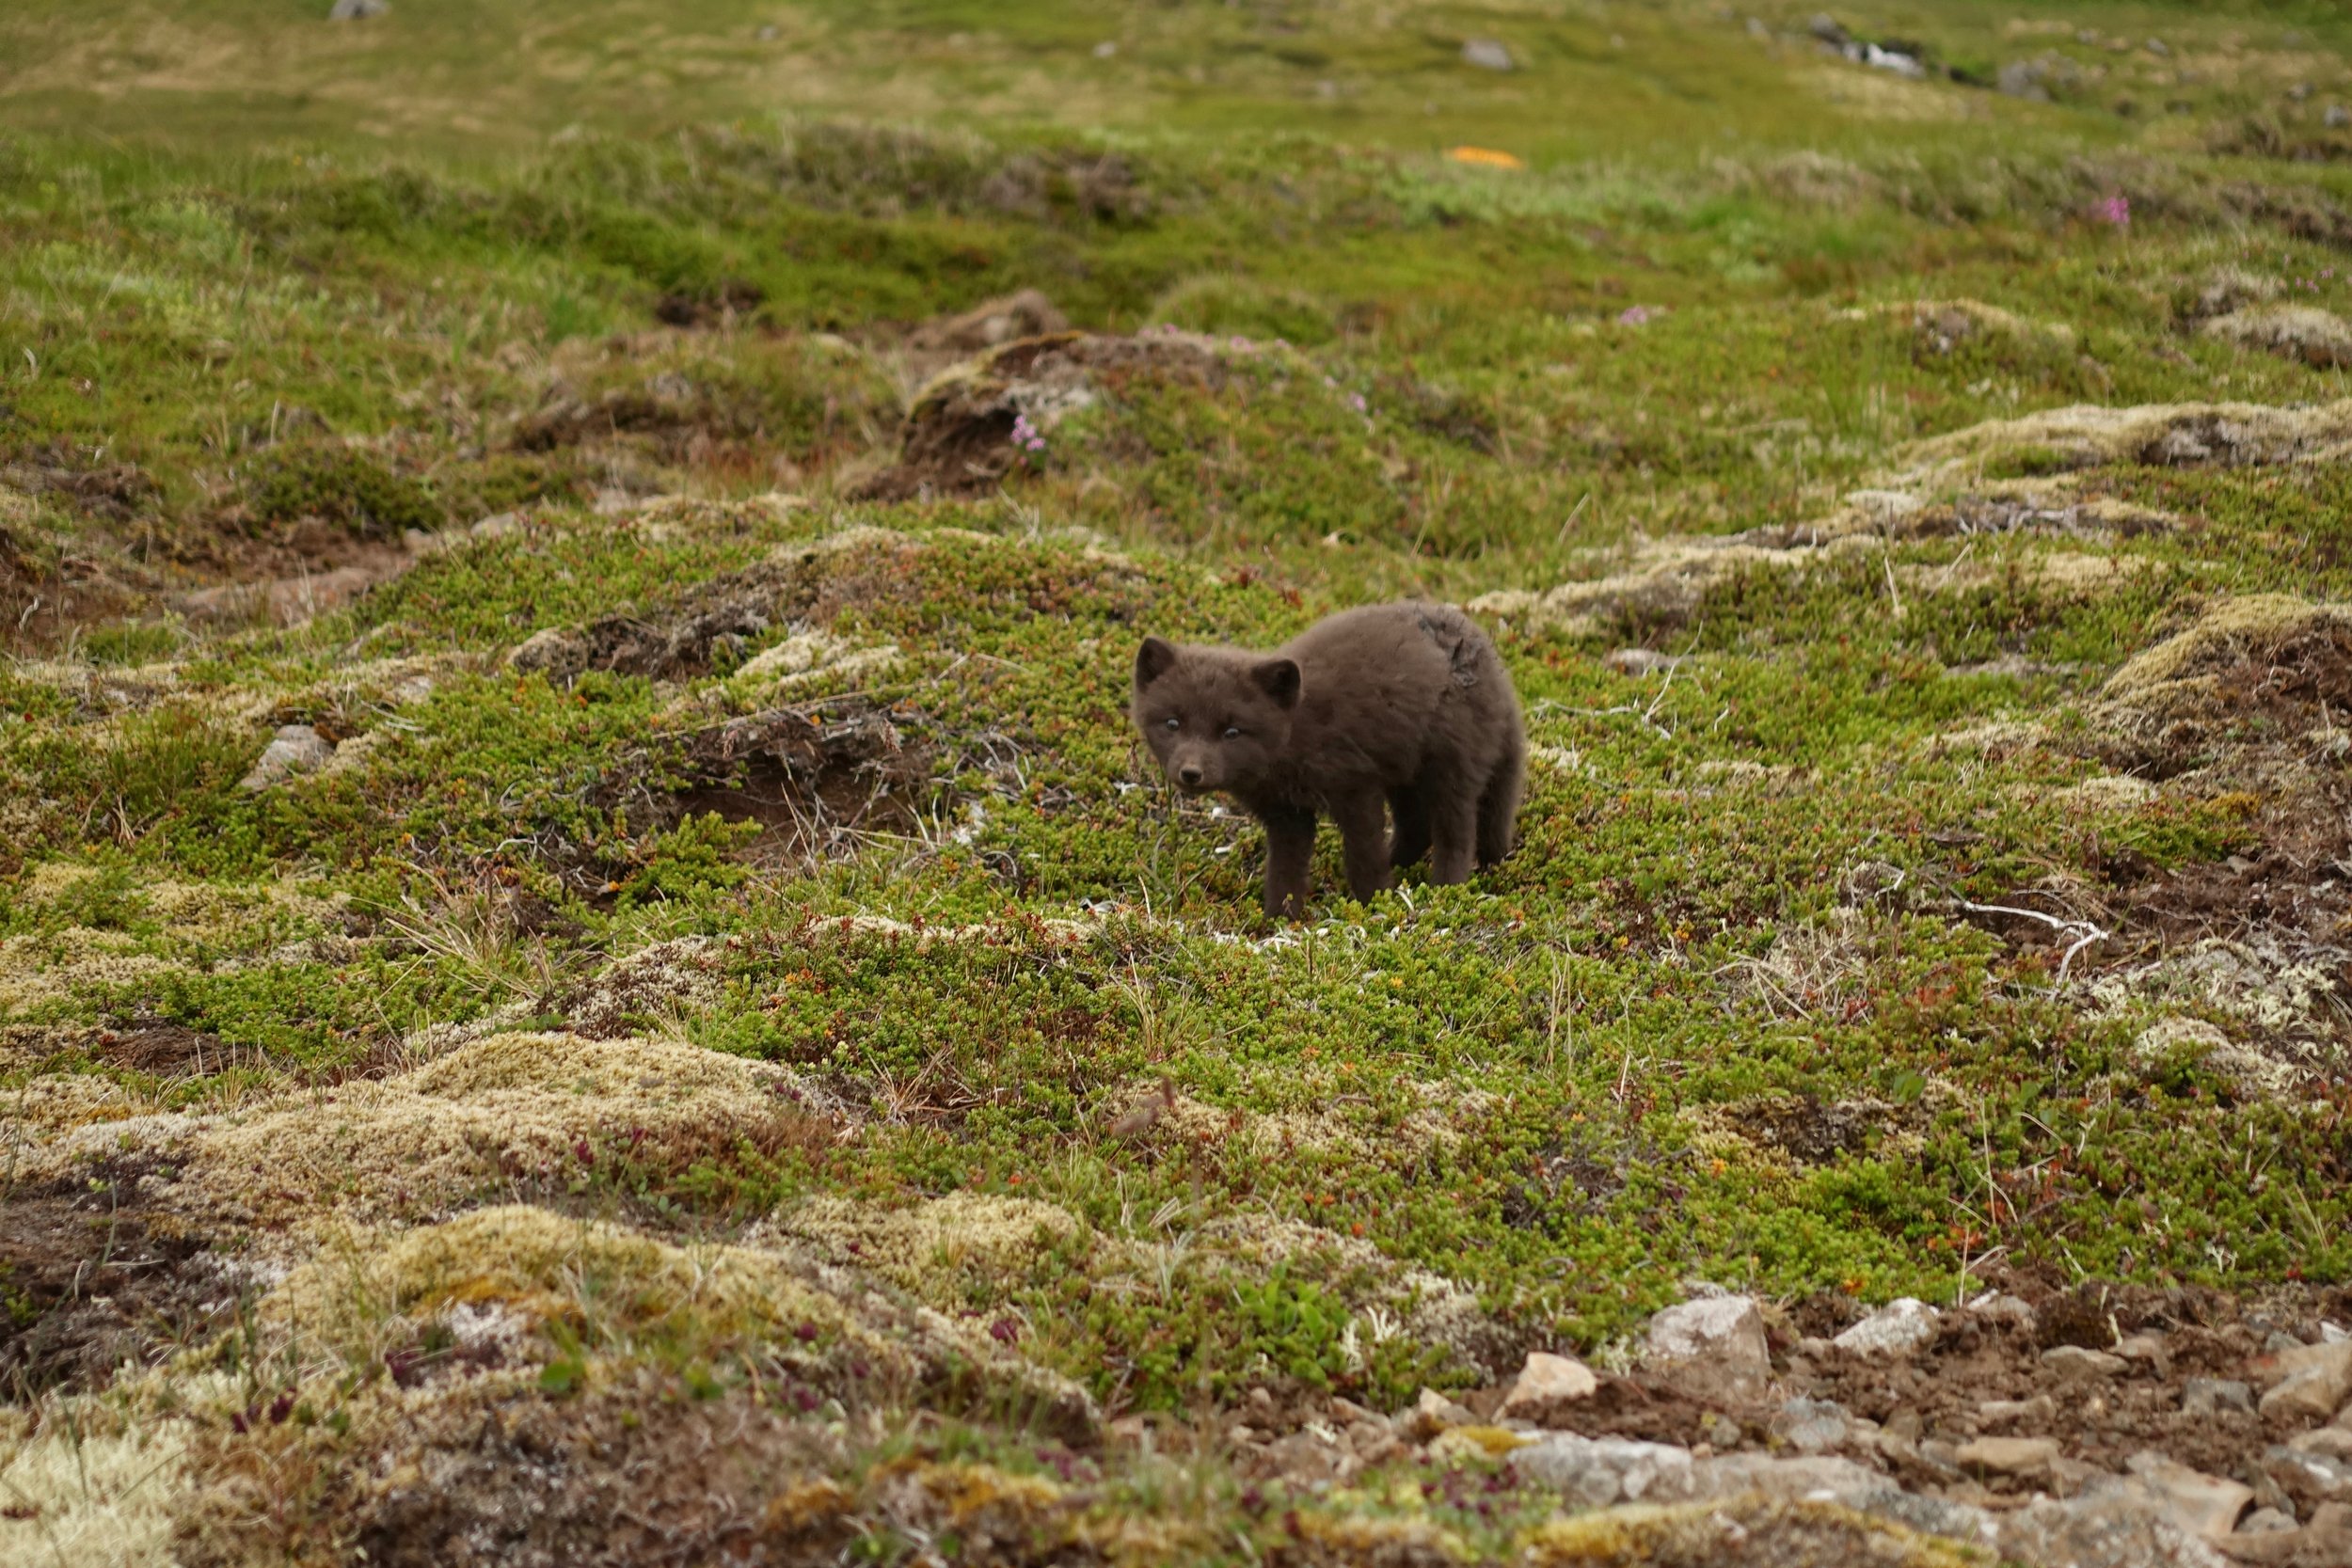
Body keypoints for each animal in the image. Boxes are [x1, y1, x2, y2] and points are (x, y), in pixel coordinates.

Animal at [1131, 601, 1526, 919]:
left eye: (1232, 731)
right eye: (1172, 723)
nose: (1191, 773)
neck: (1297, 734)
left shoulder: (1355, 787)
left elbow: (1363, 855)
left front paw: (1374, 902)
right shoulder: (1287, 813)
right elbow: (1285, 871)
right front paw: (1278, 920)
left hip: (1450, 765)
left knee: (1456, 832)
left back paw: (1447, 888)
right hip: (1404, 771)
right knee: (1417, 828)